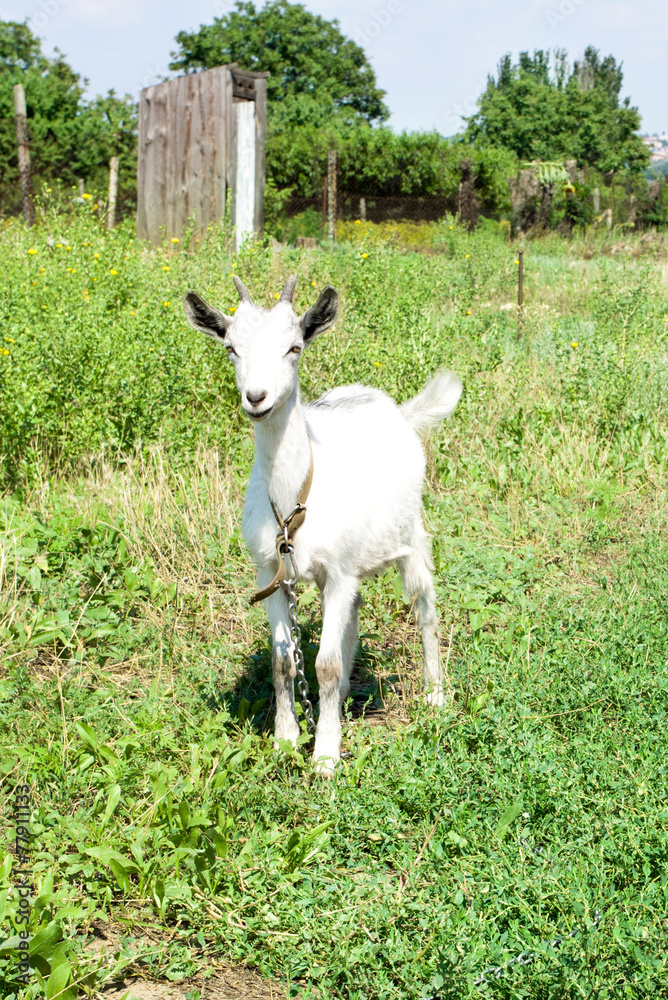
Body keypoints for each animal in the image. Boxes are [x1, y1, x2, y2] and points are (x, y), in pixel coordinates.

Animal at [183, 275, 462, 773]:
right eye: (231, 348)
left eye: (294, 347)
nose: (257, 398)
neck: (295, 501)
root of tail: (398, 412)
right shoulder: (271, 573)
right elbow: (283, 664)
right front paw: (287, 741)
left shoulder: (339, 571)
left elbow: (326, 665)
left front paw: (326, 757)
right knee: (354, 612)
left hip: (411, 537)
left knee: (425, 606)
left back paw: (434, 694)